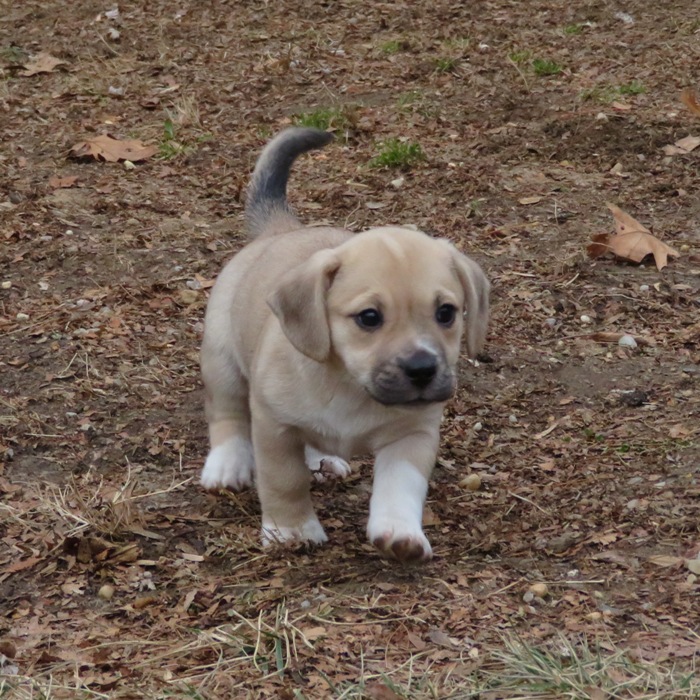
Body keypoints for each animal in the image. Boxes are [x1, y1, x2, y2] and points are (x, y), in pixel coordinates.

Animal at [200, 127, 490, 564]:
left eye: (446, 313)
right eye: (369, 317)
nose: (422, 370)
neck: (352, 388)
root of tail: (279, 230)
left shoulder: (412, 436)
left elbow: (400, 488)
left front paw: (400, 533)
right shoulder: (274, 426)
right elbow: (283, 480)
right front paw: (291, 530)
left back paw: (323, 458)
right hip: (222, 362)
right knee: (227, 415)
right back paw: (227, 466)